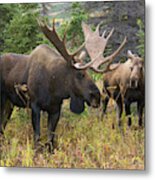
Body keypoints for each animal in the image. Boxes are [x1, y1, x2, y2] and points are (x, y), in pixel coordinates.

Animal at [0, 19, 126, 151]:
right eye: (80, 74)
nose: (97, 97)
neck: (53, 87)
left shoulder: (56, 109)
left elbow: (50, 139)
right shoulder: (35, 105)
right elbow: (37, 137)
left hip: (9, 103)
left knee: (3, 125)